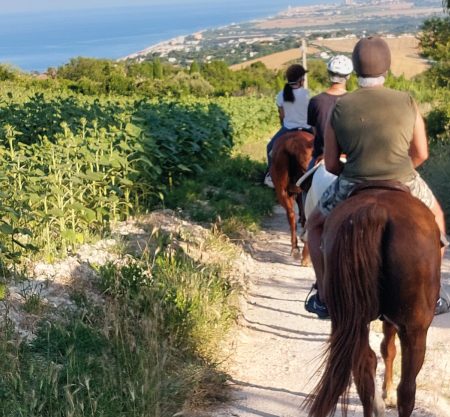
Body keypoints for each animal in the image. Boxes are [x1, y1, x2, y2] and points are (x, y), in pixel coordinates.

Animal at [306, 184, 440, 416]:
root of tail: (376, 212)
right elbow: (389, 349)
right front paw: (387, 392)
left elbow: (385, 349)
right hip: (414, 328)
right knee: (405, 388)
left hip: (352, 319)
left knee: (365, 368)